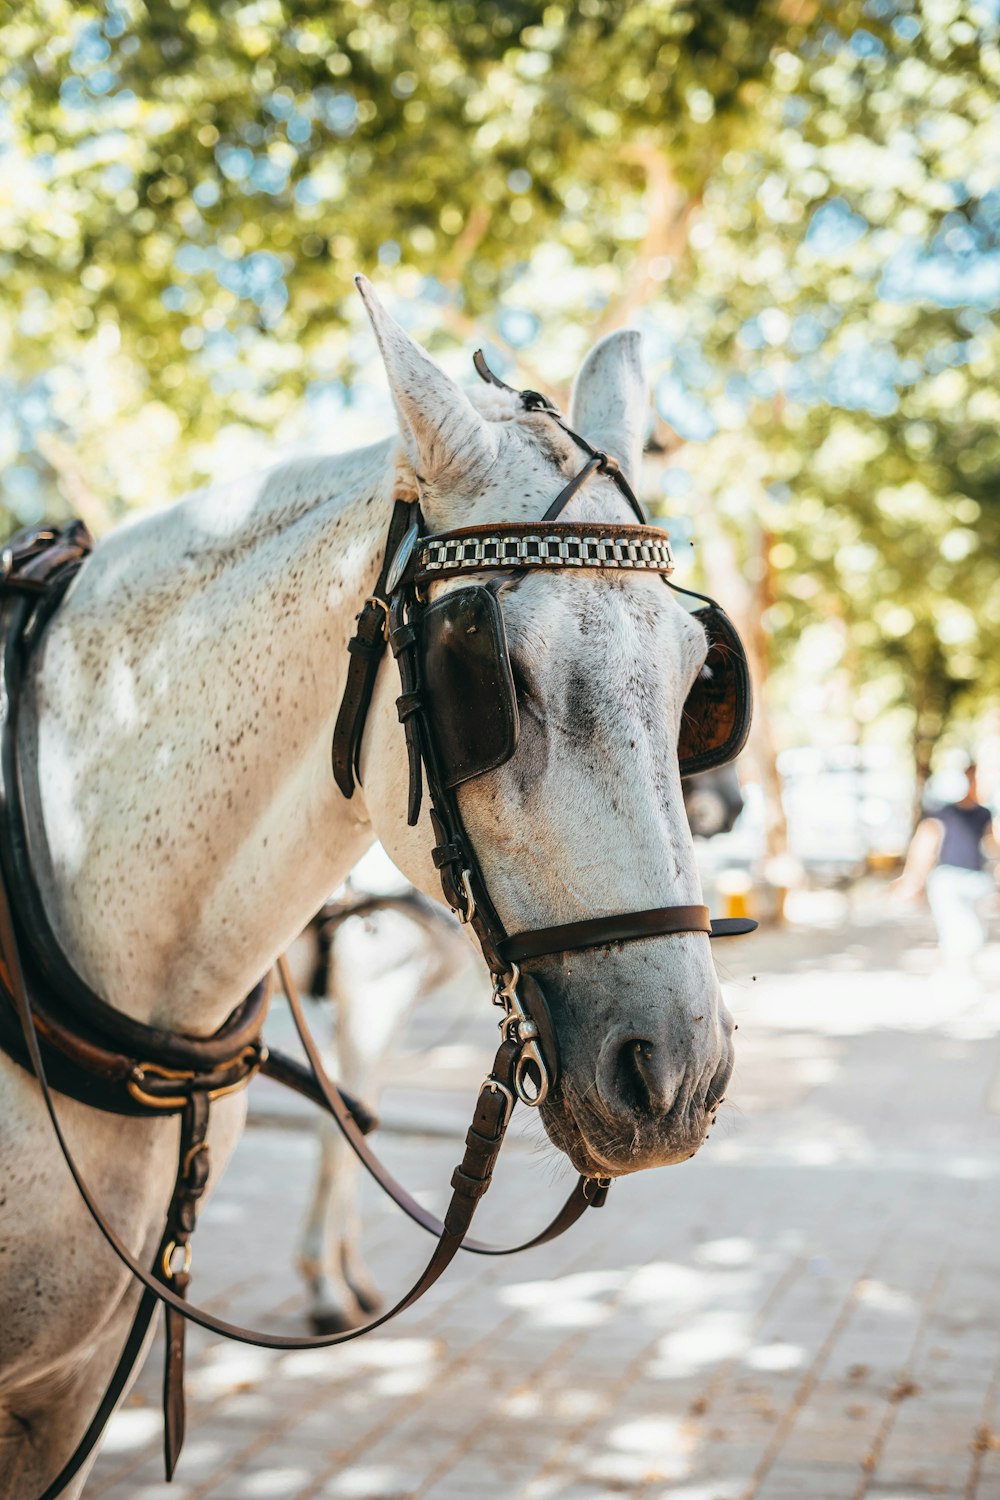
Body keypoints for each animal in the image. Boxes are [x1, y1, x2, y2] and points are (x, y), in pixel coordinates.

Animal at [0, 279, 734, 1488]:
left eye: (697, 676)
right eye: (486, 673)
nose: (673, 1074)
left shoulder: (67, 1386)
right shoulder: (375, 982)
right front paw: (327, 1279)